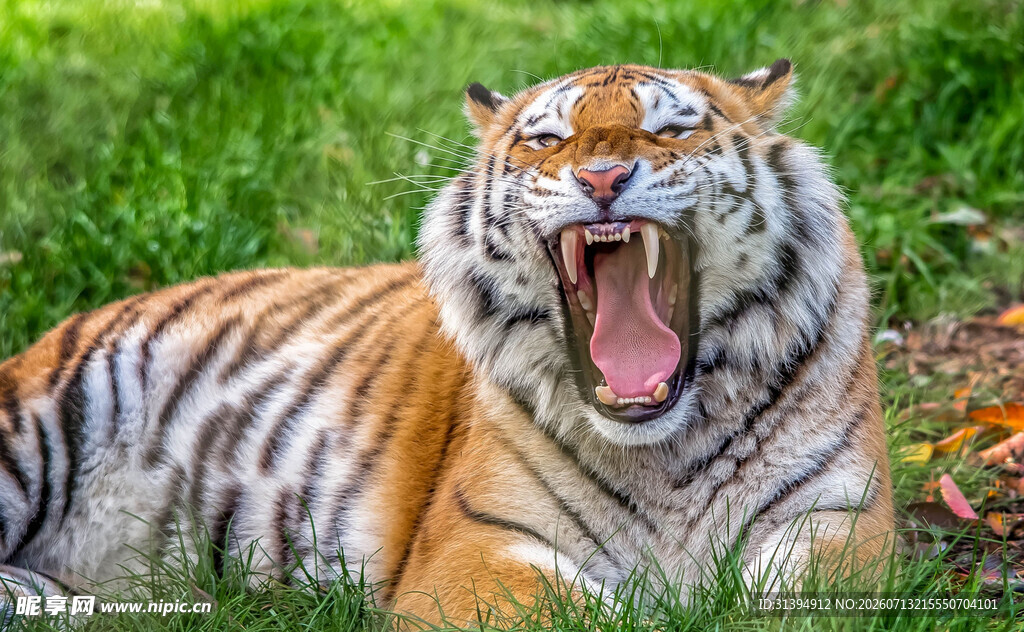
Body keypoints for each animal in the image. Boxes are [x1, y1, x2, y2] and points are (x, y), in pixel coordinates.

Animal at [0, 60, 894, 626]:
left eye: (669, 130)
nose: (602, 177)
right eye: (547, 141)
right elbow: (575, 613)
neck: (661, 447)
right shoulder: (476, 545)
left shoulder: (844, 519)